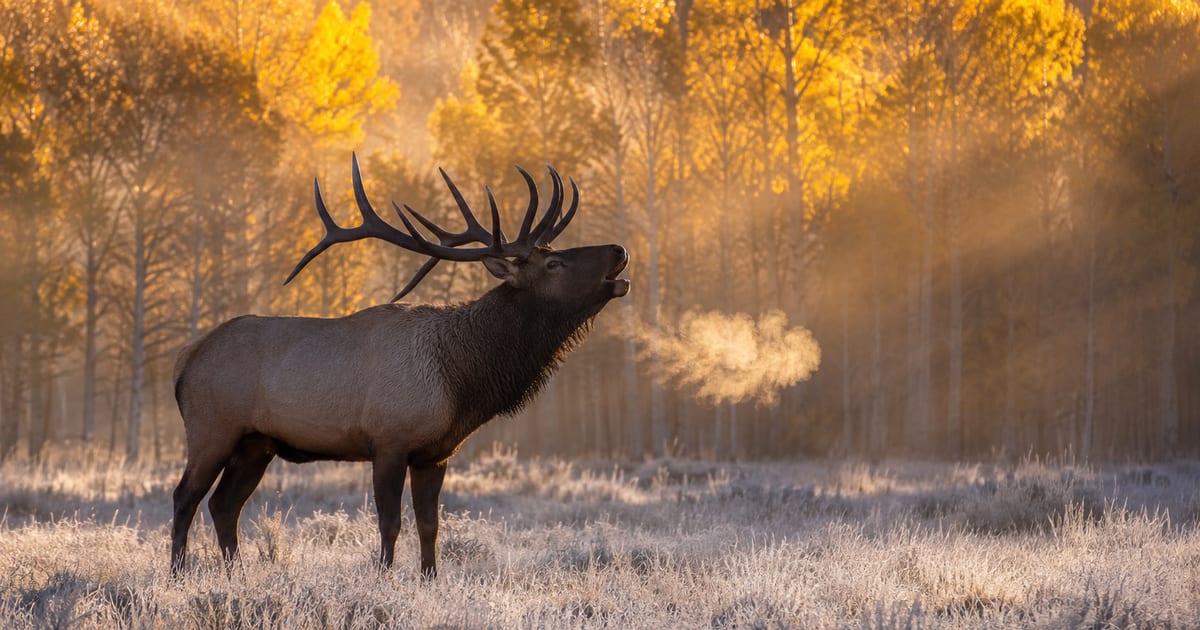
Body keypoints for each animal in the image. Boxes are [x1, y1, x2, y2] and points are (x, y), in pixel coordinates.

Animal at [170, 154, 629, 578]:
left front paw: (430, 578)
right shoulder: (388, 440)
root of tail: (184, 361)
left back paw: (236, 572)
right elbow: (390, 523)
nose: (619, 250)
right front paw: (385, 576)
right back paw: (177, 571)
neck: (459, 380)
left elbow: (430, 525)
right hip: (212, 429)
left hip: (256, 443)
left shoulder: (436, 454)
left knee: (223, 505)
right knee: (186, 497)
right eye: (554, 264)